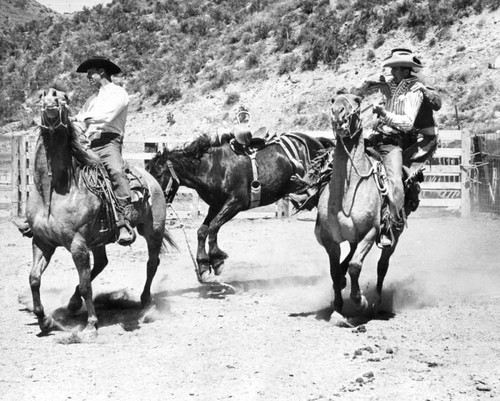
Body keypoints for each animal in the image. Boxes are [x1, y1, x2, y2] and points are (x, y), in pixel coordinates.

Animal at [146, 131, 330, 282]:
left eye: (159, 174)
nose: (153, 198)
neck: (213, 167)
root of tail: (316, 141)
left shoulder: (236, 203)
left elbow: (213, 226)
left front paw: (217, 259)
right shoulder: (216, 205)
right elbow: (202, 231)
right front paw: (204, 266)